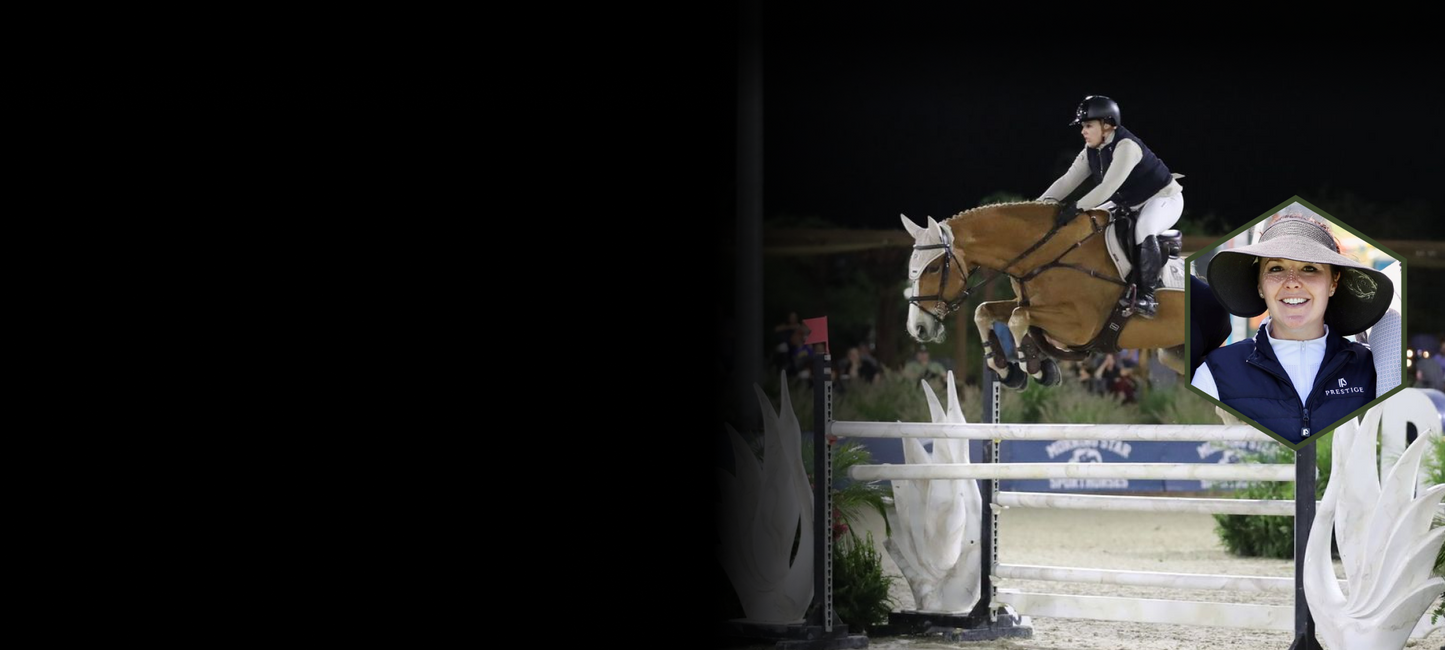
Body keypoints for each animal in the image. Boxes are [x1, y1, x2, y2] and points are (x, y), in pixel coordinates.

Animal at [901, 201, 1188, 389]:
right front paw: (1007, 369)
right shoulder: (1029, 305)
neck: (1047, 254)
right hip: (1173, 354)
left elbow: (1018, 318)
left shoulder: (1080, 327)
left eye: (934, 268)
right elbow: (985, 311)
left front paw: (1036, 368)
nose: (917, 328)